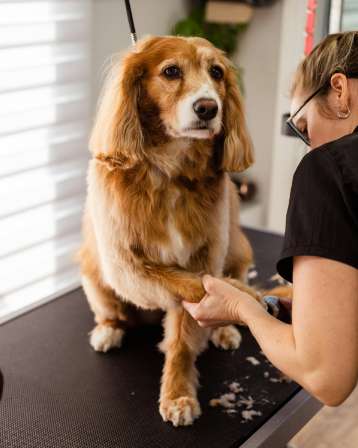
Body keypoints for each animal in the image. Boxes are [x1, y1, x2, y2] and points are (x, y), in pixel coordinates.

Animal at [78, 35, 262, 428]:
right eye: (171, 71)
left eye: (217, 72)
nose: (208, 107)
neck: (169, 174)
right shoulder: (127, 267)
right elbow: (193, 284)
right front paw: (243, 297)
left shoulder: (207, 253)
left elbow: (182, 337)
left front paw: (177, 393)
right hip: (93, 273)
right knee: (110, 311)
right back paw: (108, 329)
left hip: (238, 249)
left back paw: (225, 327)